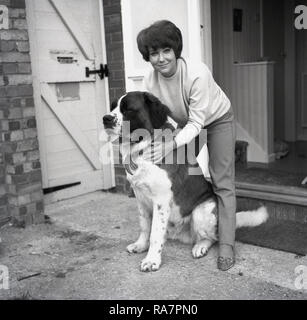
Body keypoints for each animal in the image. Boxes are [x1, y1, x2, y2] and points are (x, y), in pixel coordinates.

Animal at [102, 91, 268, 272]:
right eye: (113, 107)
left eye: (128, 109)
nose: (106, 118)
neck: (143, 147)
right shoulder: (140, 198)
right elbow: (145, 226)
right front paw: (140, 245)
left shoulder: (161, 201)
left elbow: (155, 234)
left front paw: (152, 260)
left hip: (201, 212)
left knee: (212, 237)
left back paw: (200, 247)